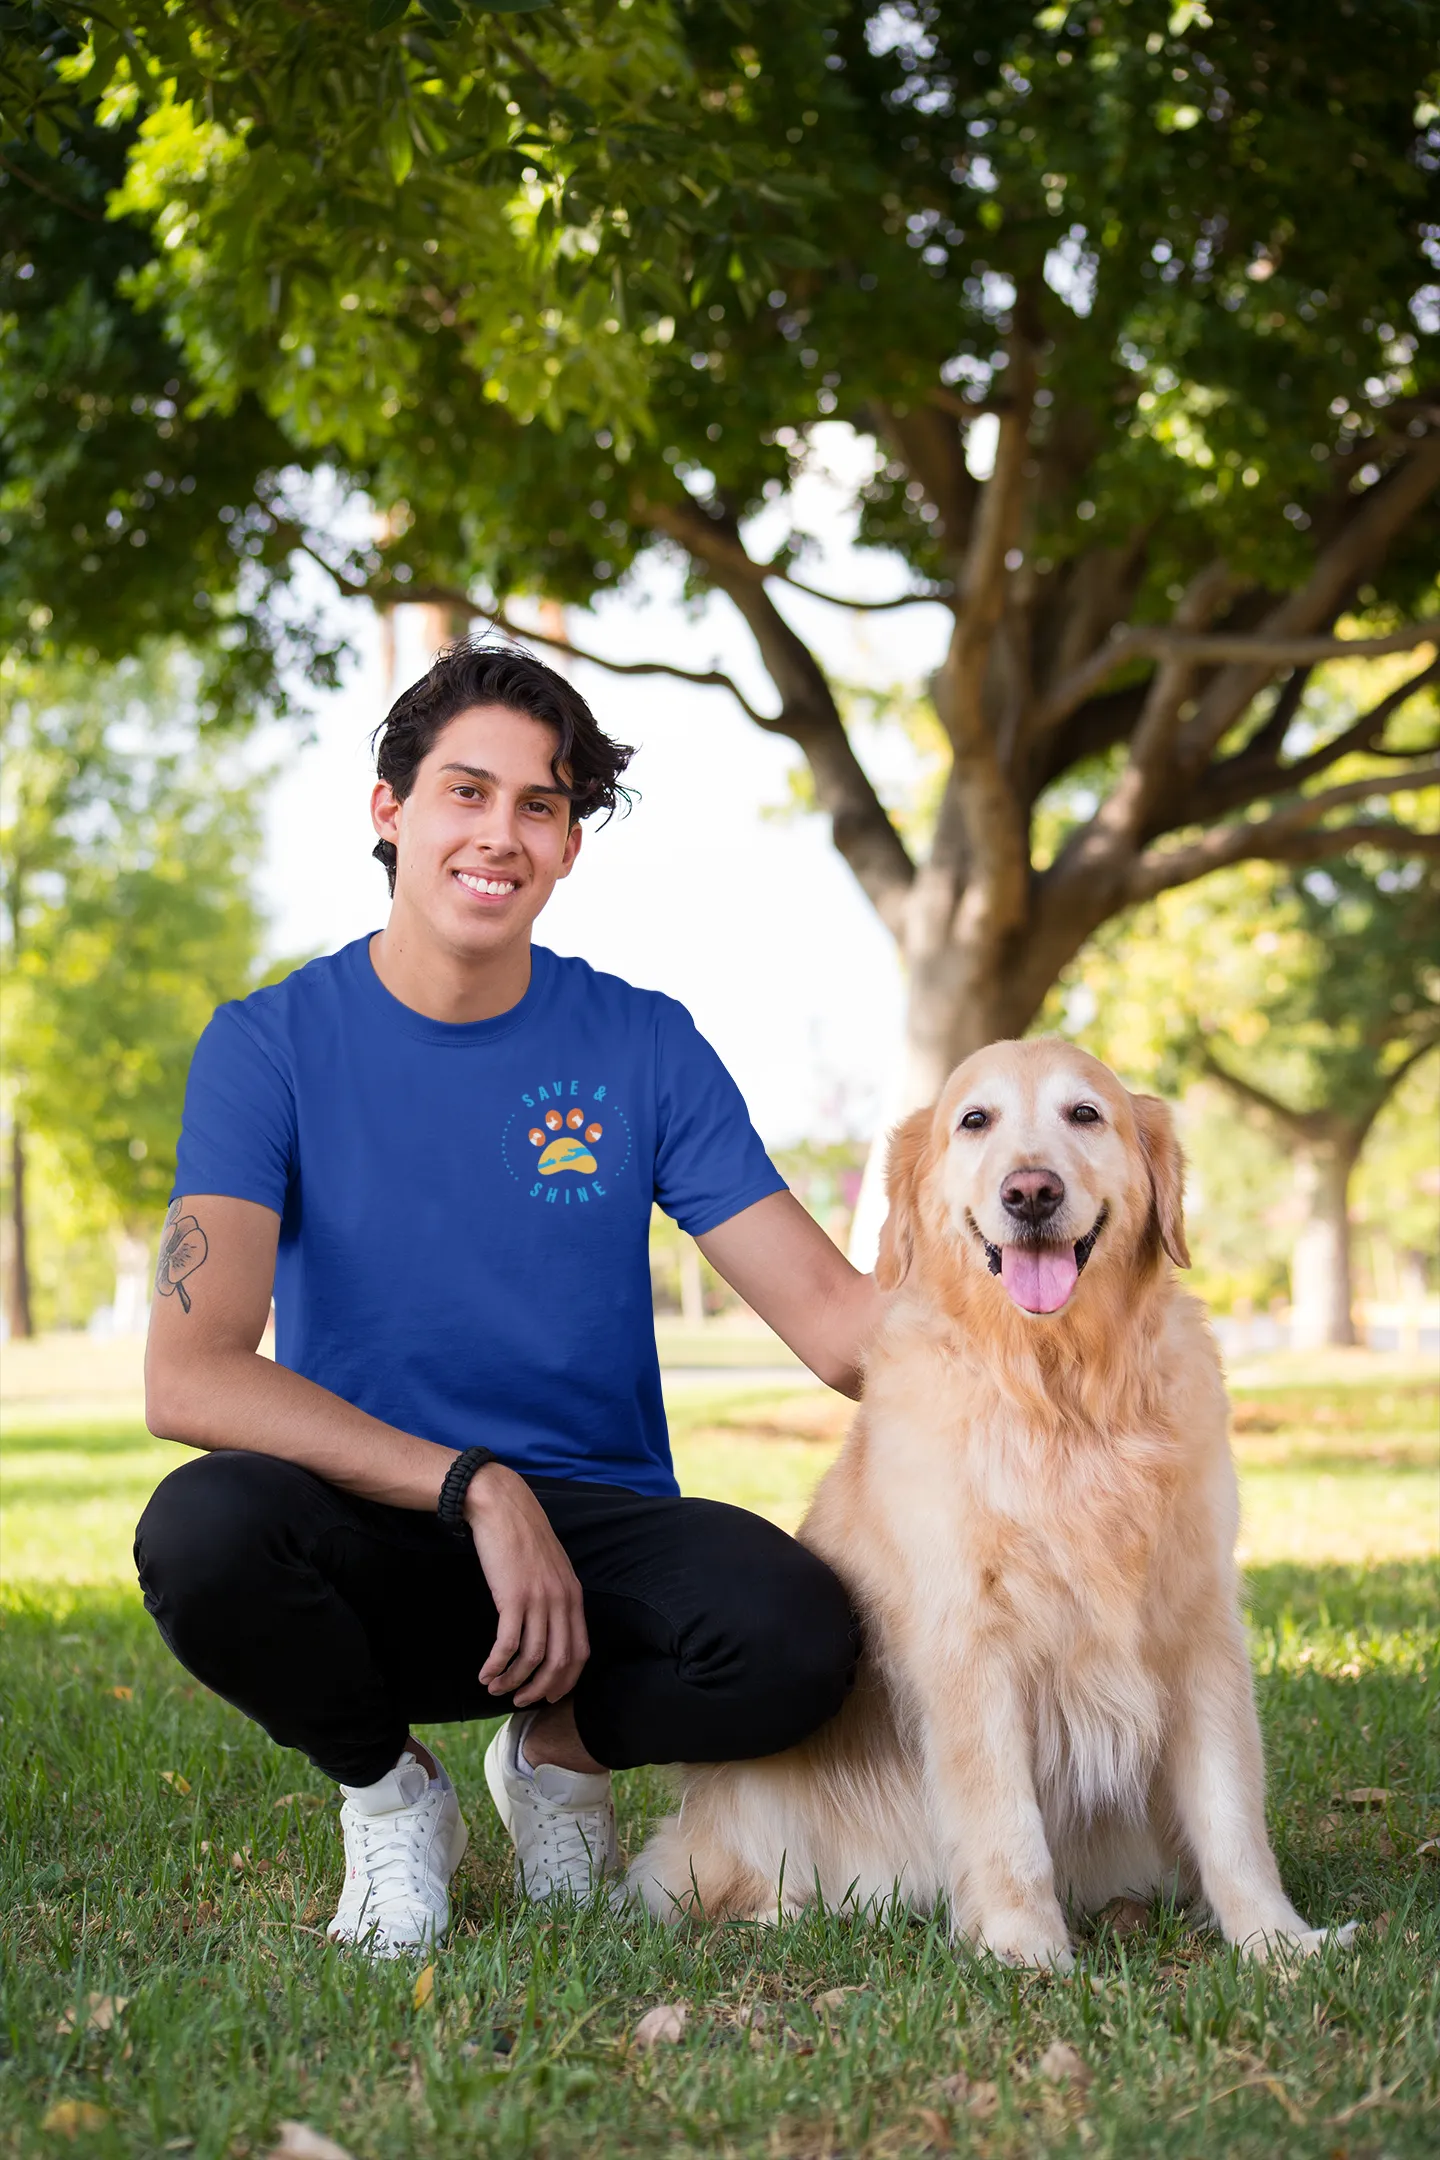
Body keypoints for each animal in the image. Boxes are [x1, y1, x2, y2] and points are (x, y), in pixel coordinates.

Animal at [630, 1036, 1355, 1969]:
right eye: (975, 1121)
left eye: (1086, 1114)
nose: (1031, 1191)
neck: (1060, 1391)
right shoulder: (970, 1642)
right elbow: (1004, 1821)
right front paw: (1026, 1953)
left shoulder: (1199, 1628)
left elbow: (1230, 1811)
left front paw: (1275, 1941)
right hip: (752, 1802)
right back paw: (792, 1913)